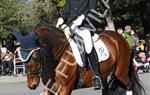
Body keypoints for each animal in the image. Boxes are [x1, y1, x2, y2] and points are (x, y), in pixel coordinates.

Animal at [14, 23, 145, 95]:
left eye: (35, 57)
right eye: (21, 56)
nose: (31, 85)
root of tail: (120, 38)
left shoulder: (65, 89)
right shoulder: (50, 89)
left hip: (121, 72)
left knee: (129, 85)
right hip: (105, 76)